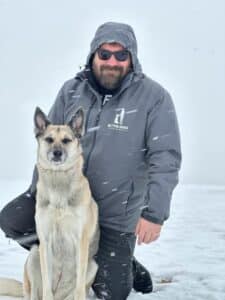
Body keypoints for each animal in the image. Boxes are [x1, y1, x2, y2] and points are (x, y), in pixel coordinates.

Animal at [0, 106, 99, 298]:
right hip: (34, 255)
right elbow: (46, 284)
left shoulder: (81, 241)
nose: (57, 153)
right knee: (34, 293)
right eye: (49, 139)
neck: (58, 181)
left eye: (66, 140)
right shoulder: (45, 242)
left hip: (92, 265)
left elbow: (79, 288)